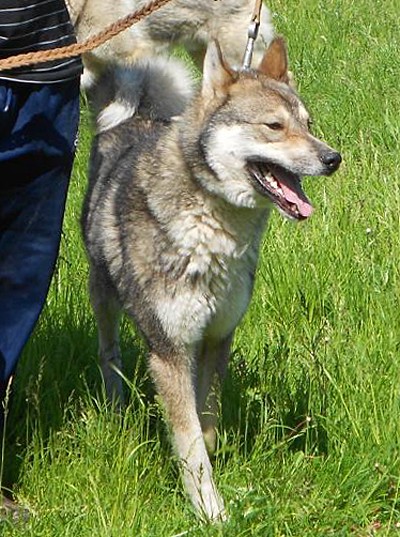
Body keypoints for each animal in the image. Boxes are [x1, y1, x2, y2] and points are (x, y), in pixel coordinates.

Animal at [81, 37, 341, 520]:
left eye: (308, 124)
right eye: (274, 126)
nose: (333, 158)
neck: (212, 224)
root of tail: (136, 118)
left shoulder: (218, 337)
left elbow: (208, 426)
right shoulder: (170, 351)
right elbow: (189, 443)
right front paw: (210, 510)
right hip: (102, 295)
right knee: (109, 352)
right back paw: (116, 404)